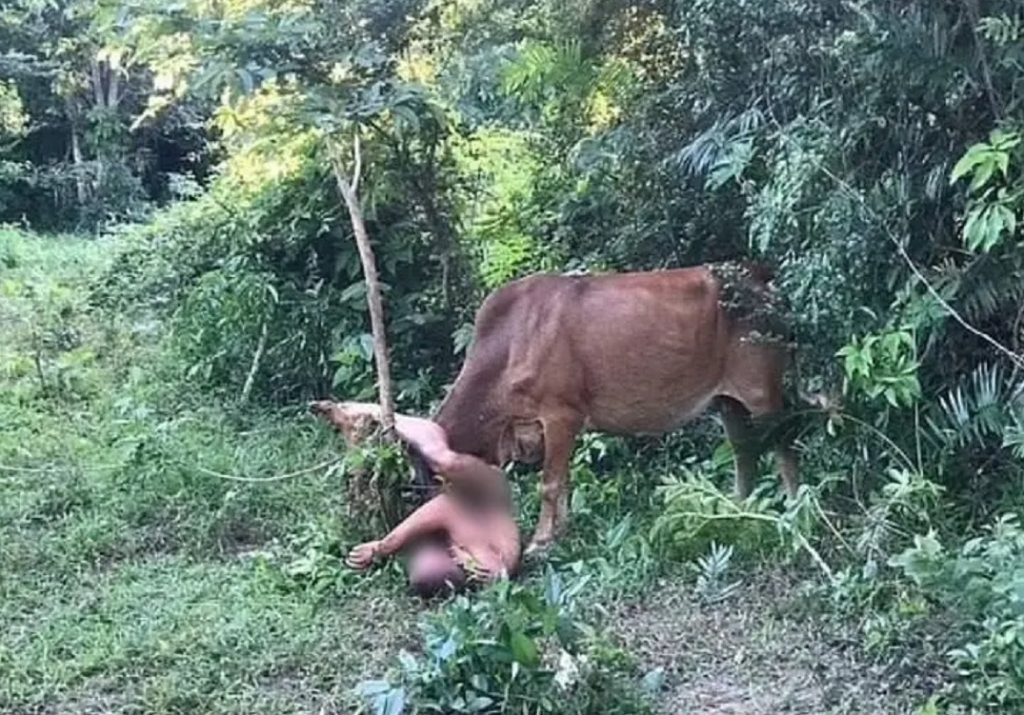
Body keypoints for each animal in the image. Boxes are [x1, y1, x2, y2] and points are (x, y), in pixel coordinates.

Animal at [417, 262, 798, 555]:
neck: (508, 347)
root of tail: (762, 277)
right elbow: (563, 481)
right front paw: (561, 531)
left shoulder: (561, 415)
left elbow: (550, 484)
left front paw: (540, 541)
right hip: (727, 401)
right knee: (744, 451)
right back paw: (738, 507)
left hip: (762, 391)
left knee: (783, 443)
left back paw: (795, 506)